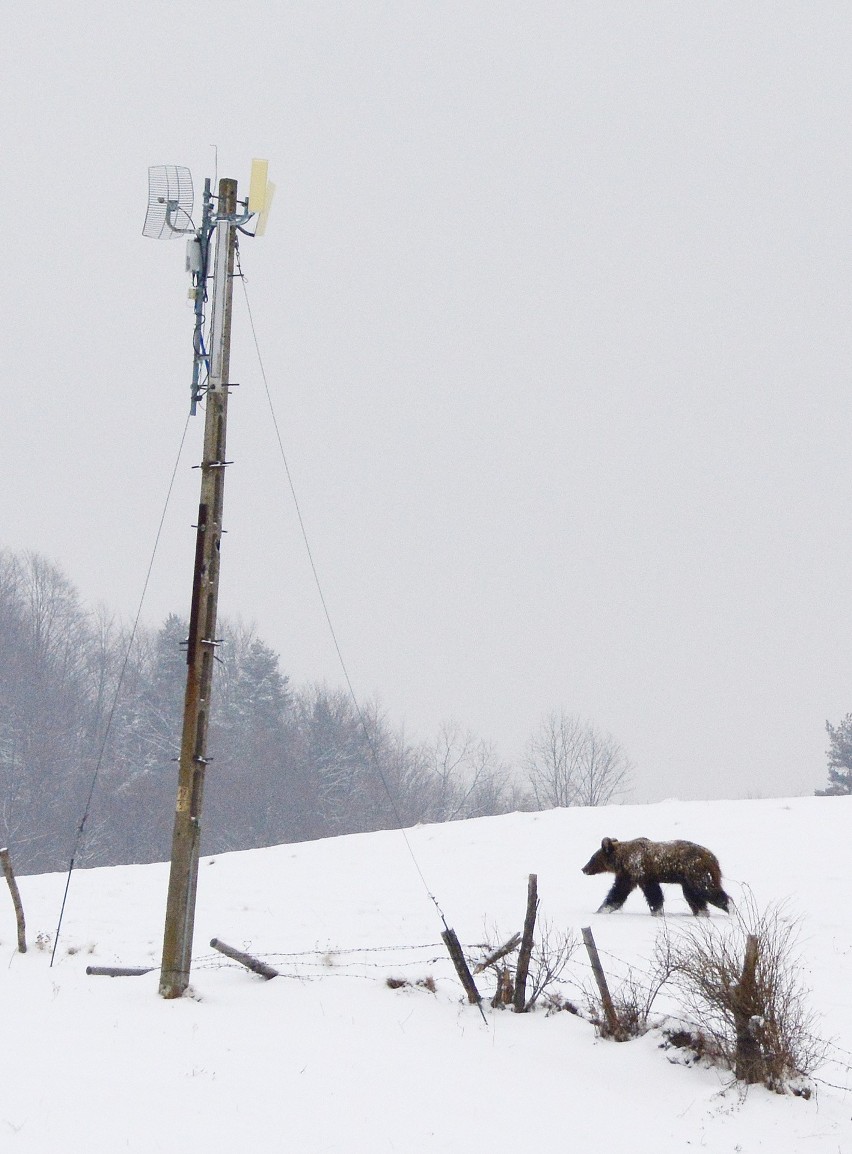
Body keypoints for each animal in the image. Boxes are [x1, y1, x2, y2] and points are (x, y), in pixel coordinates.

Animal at [577, 835, 729, 913]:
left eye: (592, 858)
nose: (584, 869)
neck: (622, 860)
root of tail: (713, 857)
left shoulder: (641, 871)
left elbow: (653, 894)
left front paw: (656, 911)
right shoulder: (627, 876)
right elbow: (617, 893)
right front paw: (602, 909)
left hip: (696, 871)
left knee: (707, 889)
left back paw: (729, 907)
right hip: (687, 880)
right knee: (694, 896)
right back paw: (701, 912)